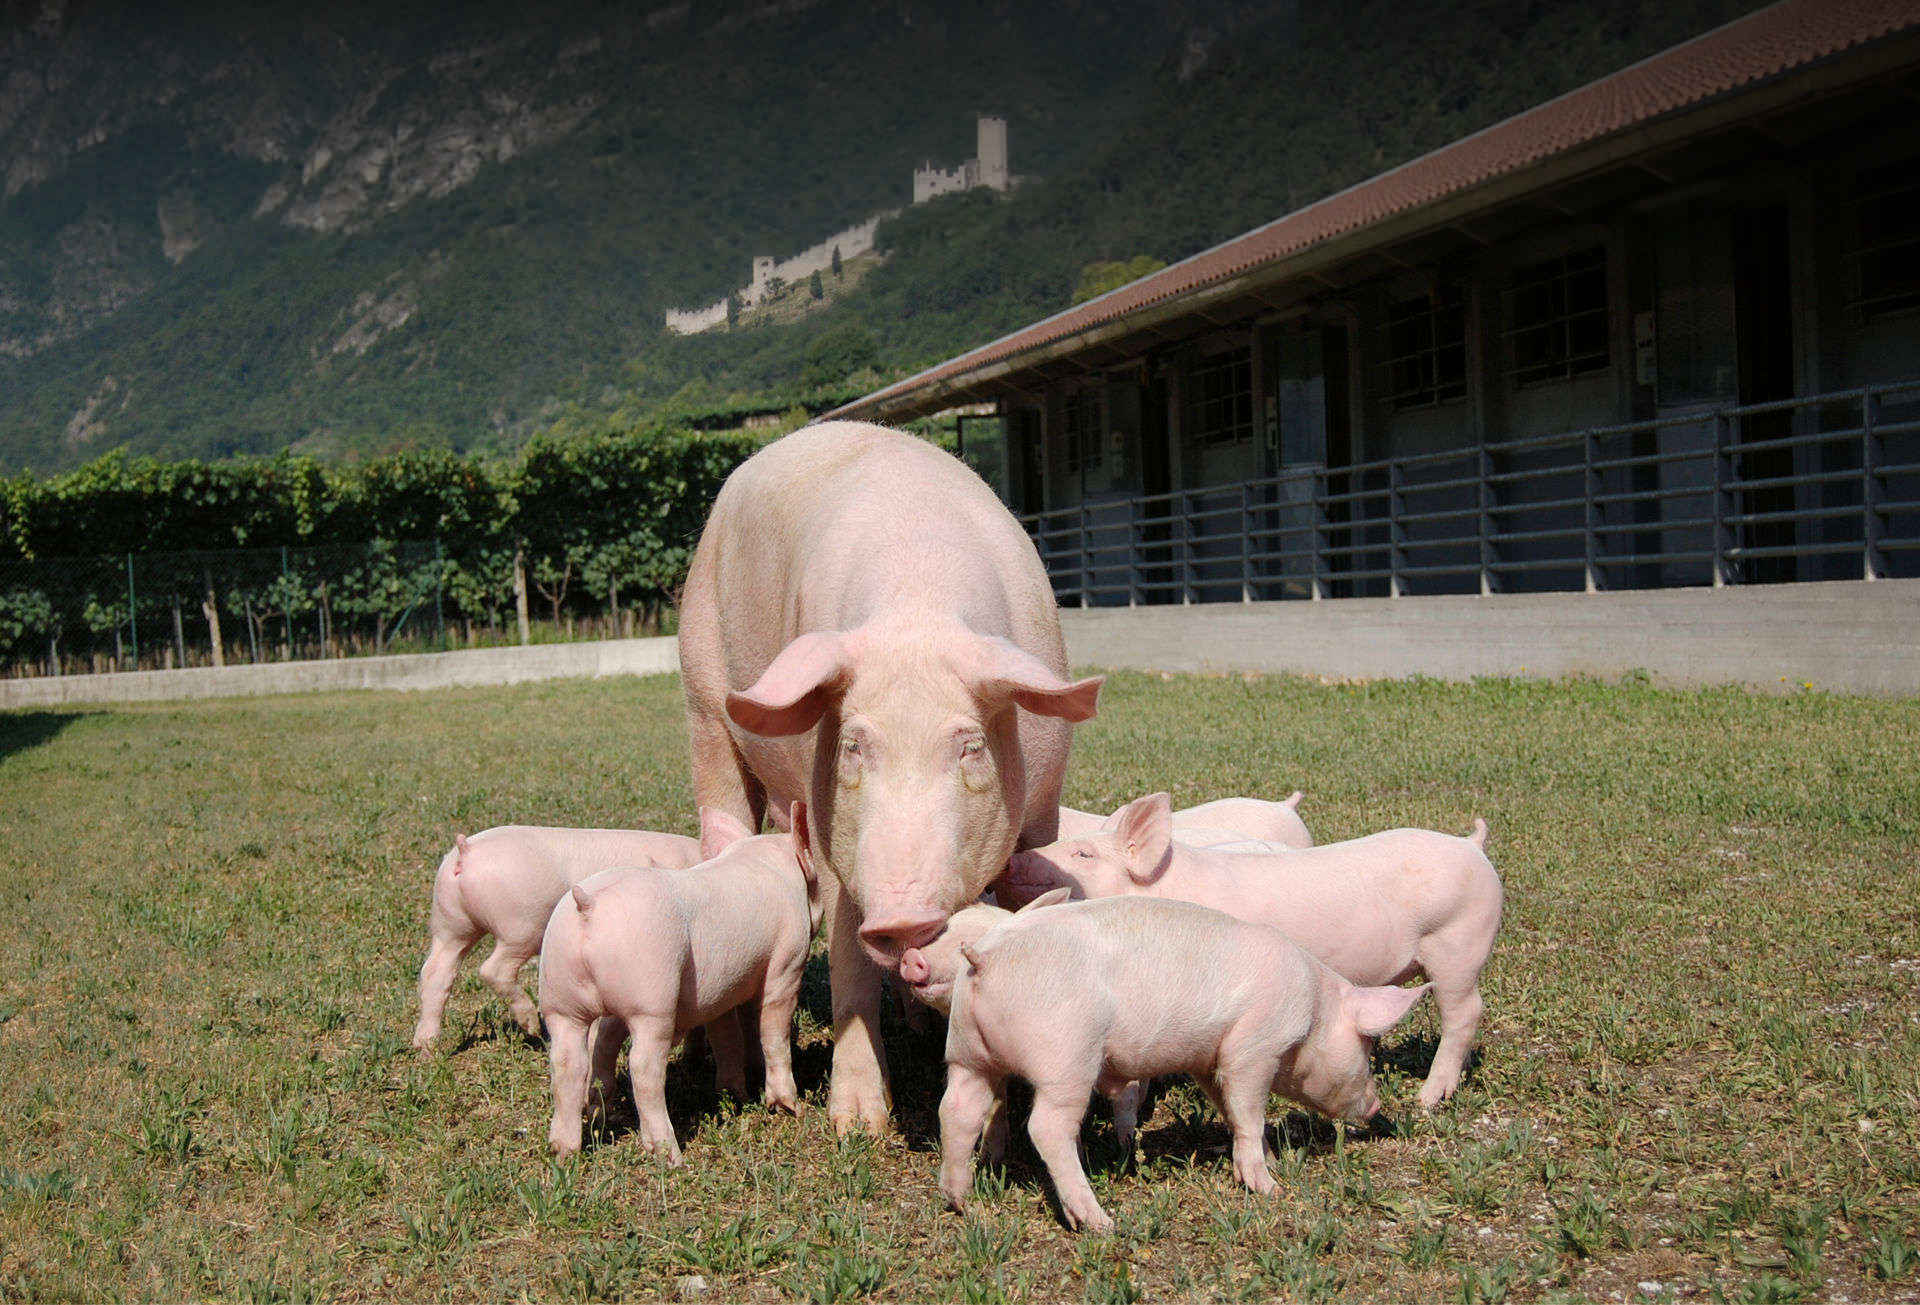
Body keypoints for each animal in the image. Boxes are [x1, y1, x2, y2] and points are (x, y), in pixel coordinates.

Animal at [683, 420, 1105, 1128]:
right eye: (854, 746)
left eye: (970, 747)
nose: (901, 914)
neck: (920, 604)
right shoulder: (832, 829)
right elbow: (850, 962)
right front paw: (858, 1123)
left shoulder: (1041, 805)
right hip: (704, 698)